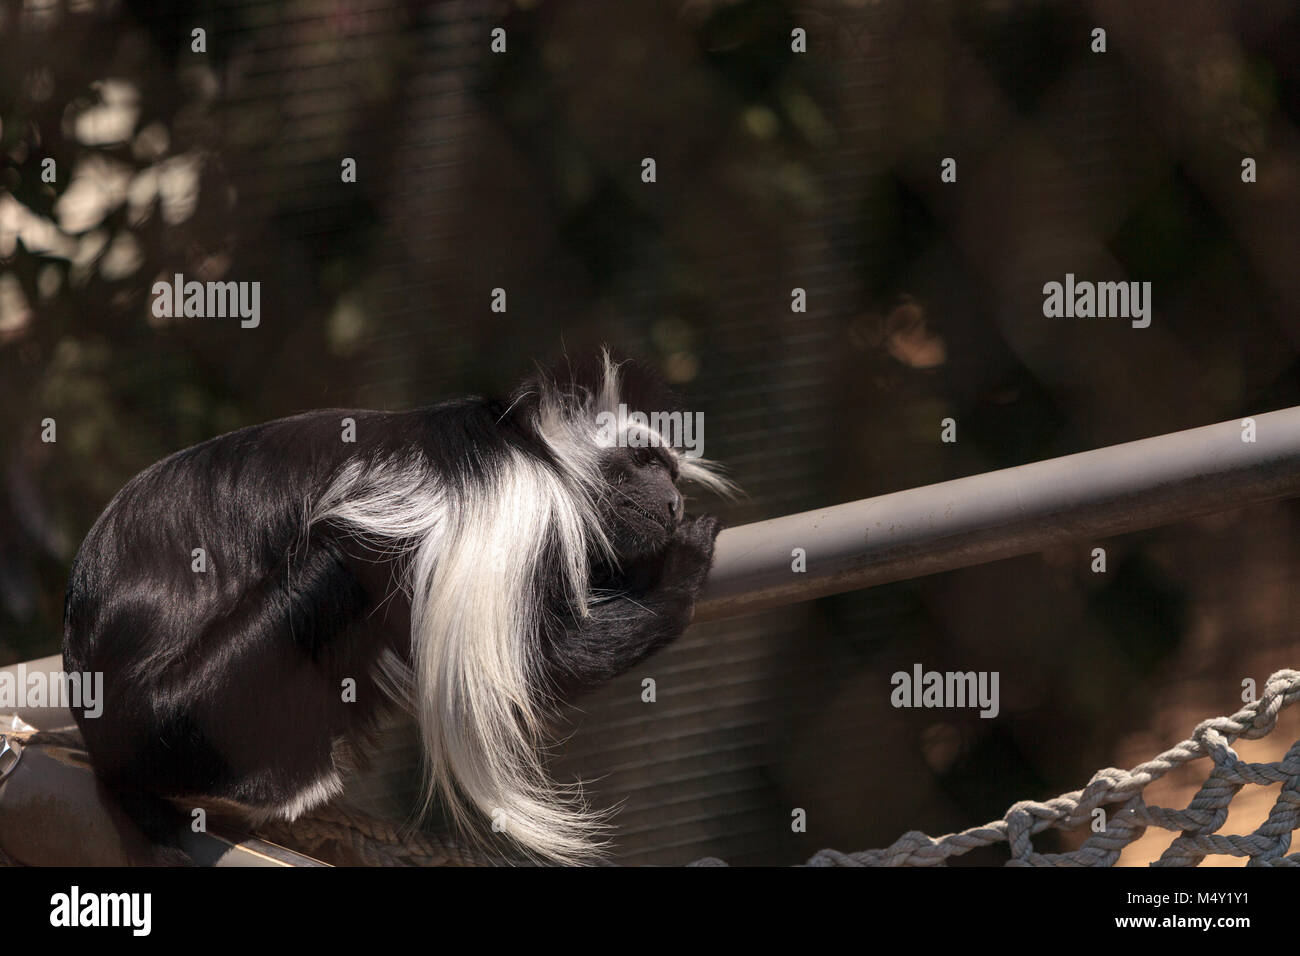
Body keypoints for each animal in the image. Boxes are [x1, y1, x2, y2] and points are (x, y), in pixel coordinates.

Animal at [63, 356, 733, 863]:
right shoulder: (513, 500)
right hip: (178, 711)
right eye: (646, 464)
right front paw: (682, 567)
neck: (540, 451)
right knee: (334, 557)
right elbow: (539, 665)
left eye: (671, 475)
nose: (672, 503)